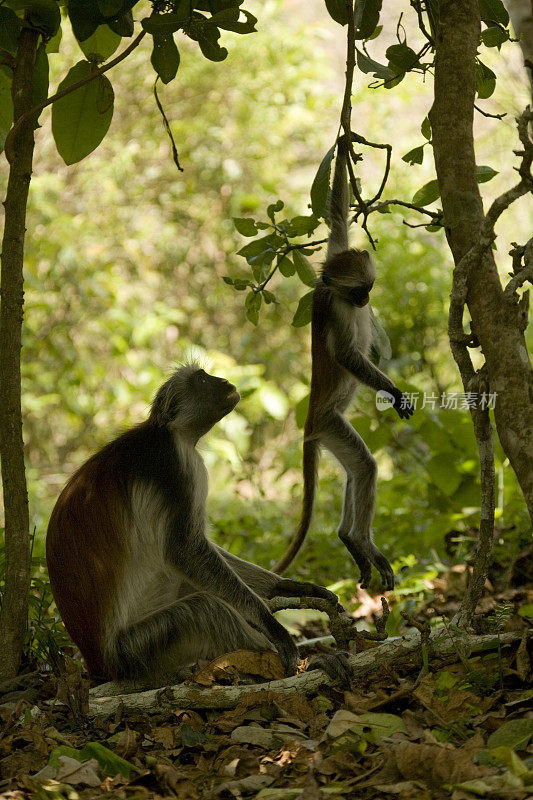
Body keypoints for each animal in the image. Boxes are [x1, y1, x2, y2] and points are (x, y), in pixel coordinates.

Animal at [46, 362, 350, 680]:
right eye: (202, 380)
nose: (224, 380)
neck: (169, 432)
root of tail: (98, 665)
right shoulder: (175, 466)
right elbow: (185, 551)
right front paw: (272, 625)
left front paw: (289, 587)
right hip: (139, 648)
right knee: (208, 608)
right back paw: (304, 666)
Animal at [272, 134, 414, 588]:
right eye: (358, 293)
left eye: (370, 288)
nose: (366, 301)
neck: (330, 290)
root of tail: (311, 420)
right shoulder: (334, 308)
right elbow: (347, 356)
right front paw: (392, 391)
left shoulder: (336, 255)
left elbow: (336, 217)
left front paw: (343, 140)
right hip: (330, 424)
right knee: (366, 468)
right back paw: (361, 540)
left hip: (331, 428)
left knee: (357, 471)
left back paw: (348, 539)